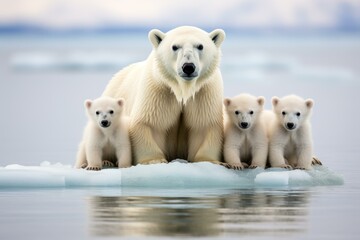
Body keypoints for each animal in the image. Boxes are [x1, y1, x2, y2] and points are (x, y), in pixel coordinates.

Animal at [102, 26, 225, 165]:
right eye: (175, 47)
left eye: (200, 46)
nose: (188, 67)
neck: (183, 89)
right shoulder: (158, 89)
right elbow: (150, 123)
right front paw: (154, 160)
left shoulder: (204, 91)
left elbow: (204, 125)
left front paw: (208, 160)